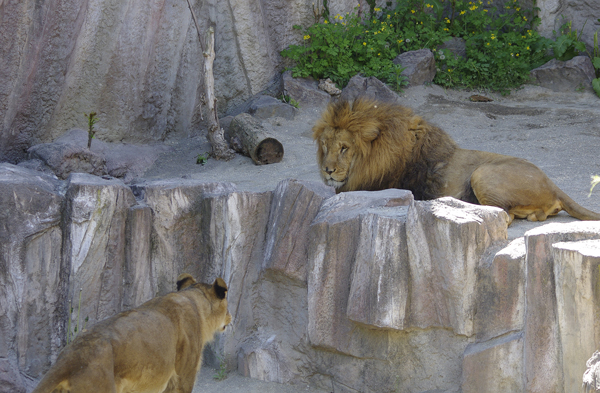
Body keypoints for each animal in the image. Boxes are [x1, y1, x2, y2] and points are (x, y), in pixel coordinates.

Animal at [314, 98, 600, 224]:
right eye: (325, 145)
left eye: (344, 148)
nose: (328, 171)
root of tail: (553, 185)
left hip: (482, 173)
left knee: (503, 215)